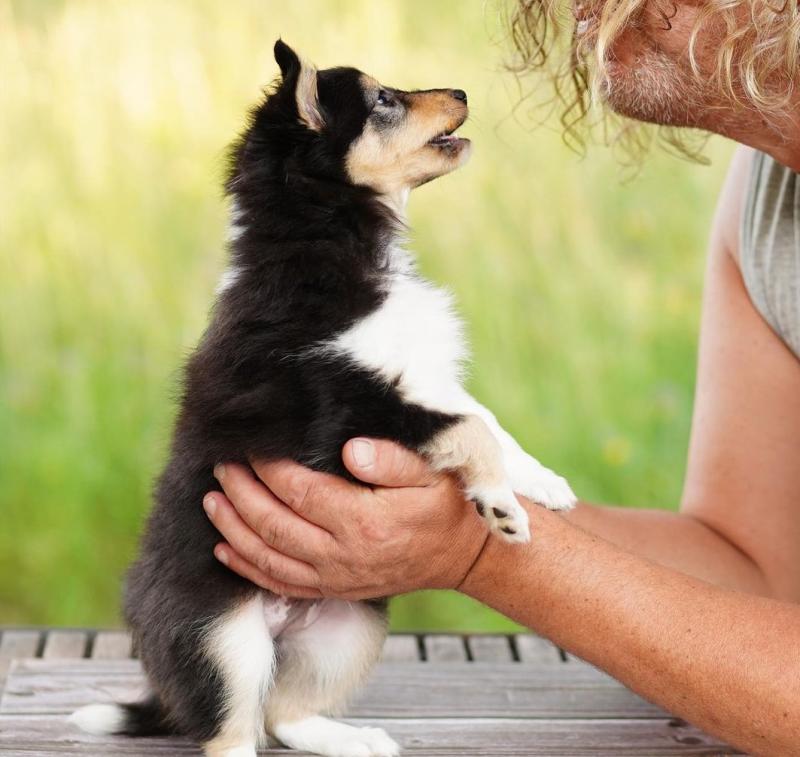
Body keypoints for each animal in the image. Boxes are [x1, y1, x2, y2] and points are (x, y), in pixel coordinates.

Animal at [70, 41, 576, 756]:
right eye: (383, 100)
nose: (461, 91)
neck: (335, 240)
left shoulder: (426, 376)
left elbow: (487, 421)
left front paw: (543, 483)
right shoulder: (342, 412)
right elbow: (465, 429)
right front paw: (501, 508)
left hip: (348, 628)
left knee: (284, 713)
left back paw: (354, 740)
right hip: (223, 638)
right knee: (233, 731)